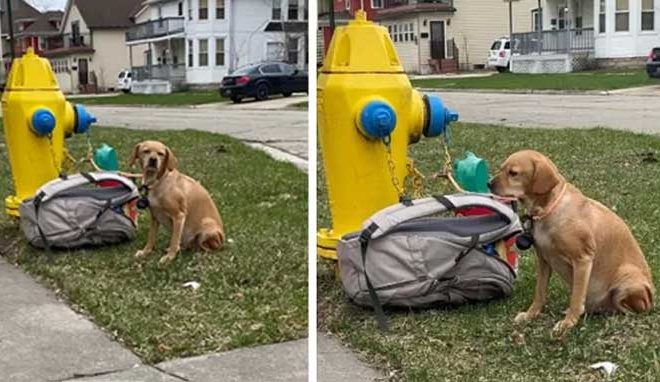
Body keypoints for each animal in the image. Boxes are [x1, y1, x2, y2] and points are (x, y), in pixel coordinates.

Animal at [129, 139, 227, 268]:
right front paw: (146, 252)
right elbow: (151, 238)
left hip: (207, 226)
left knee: (206, 247)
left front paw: (169, 258)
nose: (153, 160)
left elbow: (174, 241)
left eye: (161, 154)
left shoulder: (179, 216)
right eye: (146, 151)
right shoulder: (154, 217)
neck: (157, 182)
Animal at [490, 151, 648, 336]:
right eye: (502, 168)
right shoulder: (543, 260)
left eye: (513, 173)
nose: (488, 184)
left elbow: (576, 298)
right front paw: (531, 314)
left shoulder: (583, 259)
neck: (547, 210)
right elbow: (540, 293)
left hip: (627, 277)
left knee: (631, 307)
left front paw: (568, 323)